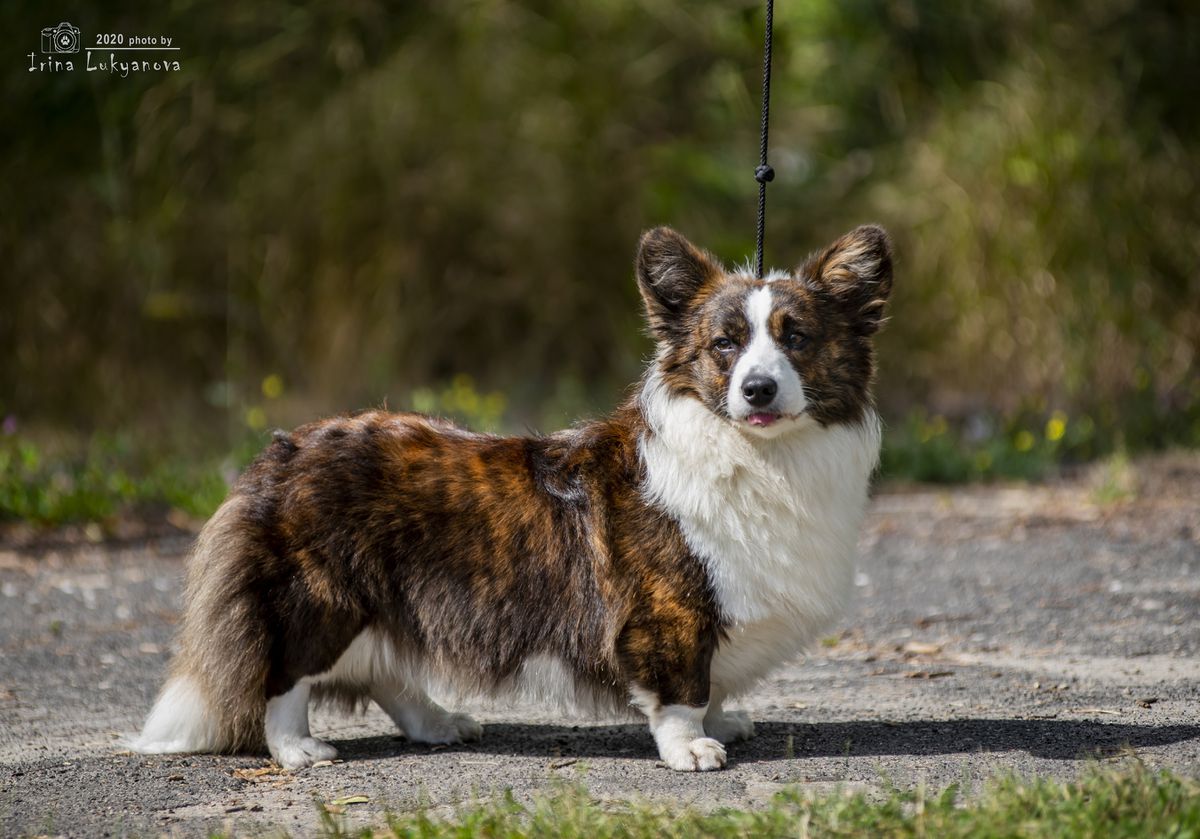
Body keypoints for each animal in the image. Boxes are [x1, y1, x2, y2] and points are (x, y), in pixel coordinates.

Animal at [133, 224, 892, 772]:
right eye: (725, 345)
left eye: (798, 338)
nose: (758, 390)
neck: (762, 457)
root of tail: (282, 452)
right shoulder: (669, 614)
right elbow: (681, 689)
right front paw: (693, 746)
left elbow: (710, 686)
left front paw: (721, 719)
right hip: (325, 599)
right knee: (286, 673)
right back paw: (299, 750)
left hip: (391, 603)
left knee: (386, 670)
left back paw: (440, 722)